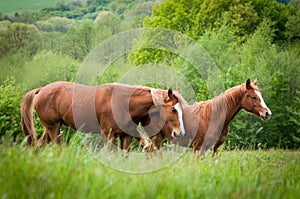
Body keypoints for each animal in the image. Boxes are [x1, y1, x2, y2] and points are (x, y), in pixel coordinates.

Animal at [20, 81, 185, 151]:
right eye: (173, 110)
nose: (179, 133)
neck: (121, 103)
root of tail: (41, 90)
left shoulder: (126, 137)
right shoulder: (108, 135)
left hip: (51, 128)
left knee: (38, 145)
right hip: (53, 127)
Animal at [141, 78, 272, 156]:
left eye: (260, 95)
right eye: (253, 97)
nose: (267, 113)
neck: (213, 117)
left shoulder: (216, 148)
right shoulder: (199, 148)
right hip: (156, 138)